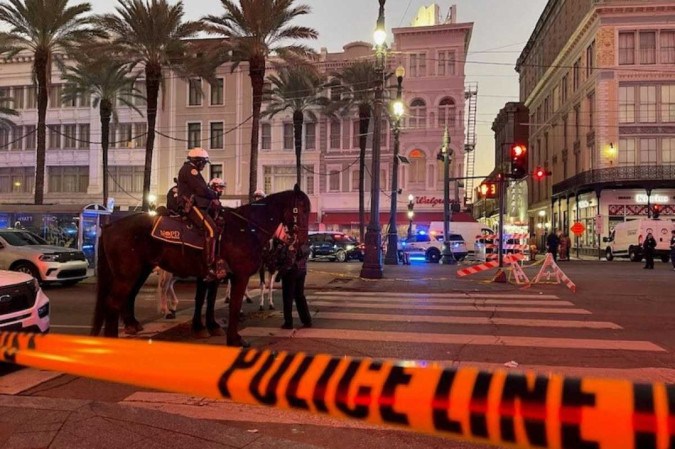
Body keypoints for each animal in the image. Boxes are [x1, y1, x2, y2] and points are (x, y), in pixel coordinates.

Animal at [91, 186, 310, 346]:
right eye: (301, 209)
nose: (301, 243)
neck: (246, 228)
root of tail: (109, 226)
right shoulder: (239, 276)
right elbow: (232, 305)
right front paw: (234, 338)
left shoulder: (214, 275)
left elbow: (208, 300)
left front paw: (209, 327)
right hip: (128, 274)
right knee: (114, 302)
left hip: (138, 271)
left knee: (126, 298)